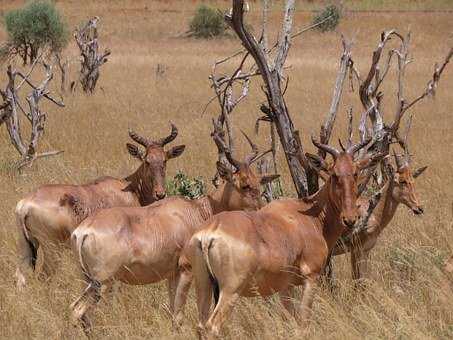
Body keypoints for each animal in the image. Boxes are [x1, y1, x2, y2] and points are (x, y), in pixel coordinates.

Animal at [14, 123, 184, 288]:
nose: (160, 194)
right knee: (44, 277)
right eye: (146, 161)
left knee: (20, 277)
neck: (129, 189)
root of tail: (26, 204)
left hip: (26, 247)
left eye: (164, 160)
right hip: (52, 249)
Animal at [69, 133, 278, 332]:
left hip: (88, 279)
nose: (262, 213)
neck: (195, 210)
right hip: (102, 282)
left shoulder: (171, 274)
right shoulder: (186, 270)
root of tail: (82, 231)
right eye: (244, 184)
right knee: (76, 310)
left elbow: (172, 313)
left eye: (258, 182)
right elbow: (178, 317)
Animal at [185, 137, 380, 338]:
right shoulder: (311, 277)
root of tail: (209, 234)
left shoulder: (285, 287)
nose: (350, 219)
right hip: (231, 290)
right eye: (333, 174)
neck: (307, 216)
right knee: (212, 327)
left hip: (204, 285)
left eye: (355, 172)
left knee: (200, 326)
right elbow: (303, 324)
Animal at [330, 149, 426, 282]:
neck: (371, 211)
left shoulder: (366, 251)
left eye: (412, 179)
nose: (419, 208)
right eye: (401, 181)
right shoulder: (355, 251)